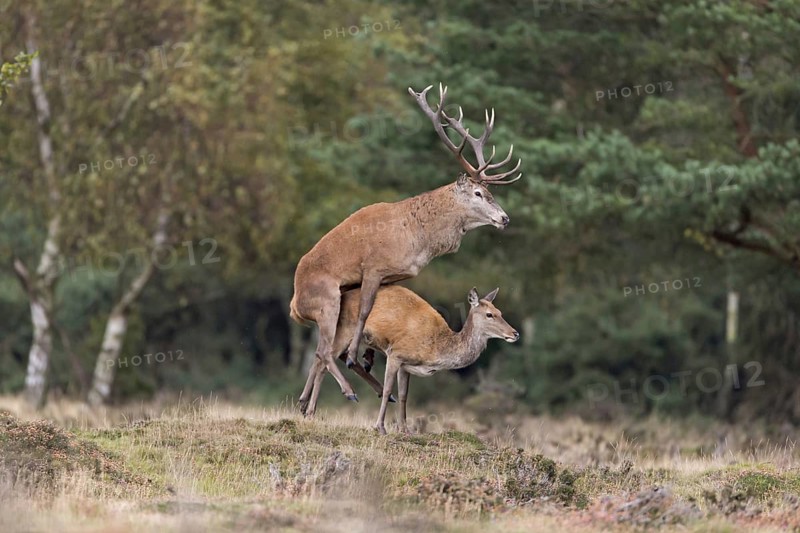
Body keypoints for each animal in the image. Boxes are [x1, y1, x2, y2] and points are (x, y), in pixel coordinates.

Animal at [289, 83, 522, 412]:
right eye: (478, 193)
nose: (504, 217)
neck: (416, 239)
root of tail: (294, 306)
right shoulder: (373, 266)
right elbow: (365, 309)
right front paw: (356, 356)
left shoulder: (398, 274)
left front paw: (368, 356)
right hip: (326, 299)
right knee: (322, 349)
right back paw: (347, 390)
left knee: (320, 353)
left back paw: (305, 402)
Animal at [302, 285, 519, 433]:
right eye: (489, 314)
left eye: (500, 312)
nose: (515, 333)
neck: (436, 350)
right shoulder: (396, 353)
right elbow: (389, 389)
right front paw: (380, 427)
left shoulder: (406, 366)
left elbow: (404, 395)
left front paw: (405, 429)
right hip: (344, 329)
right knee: (324, 358)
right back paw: (321, 406)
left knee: (328, 357)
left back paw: (307, 406)